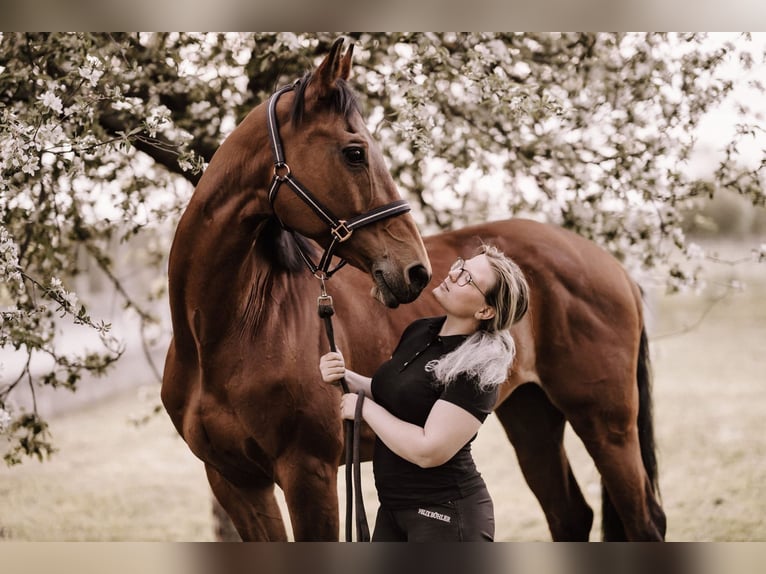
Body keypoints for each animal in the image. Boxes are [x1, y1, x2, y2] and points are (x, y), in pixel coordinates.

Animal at [162, 38, 666, 541]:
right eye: (355, 153)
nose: (417, 271)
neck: (226, 334)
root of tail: (613, 267)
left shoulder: (308, 474)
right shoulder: (235, 483)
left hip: (606, 425)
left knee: (644, 520)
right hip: (531, 416)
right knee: (570, 514)